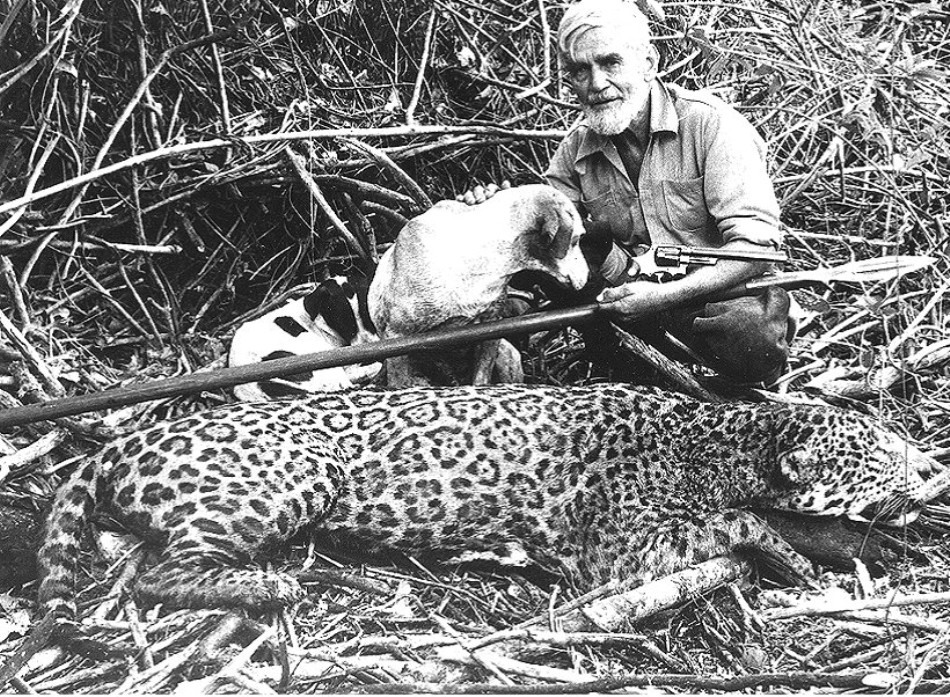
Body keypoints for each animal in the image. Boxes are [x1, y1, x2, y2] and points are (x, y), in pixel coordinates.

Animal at [38, 383, 947, 620]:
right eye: (882, 454)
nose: (933, 467)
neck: (723, 441)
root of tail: (117, 440)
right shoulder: (616, 551)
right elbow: (741, 520)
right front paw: (797, 554)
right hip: (295, 475)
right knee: (154, 571)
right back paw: (272, 585)